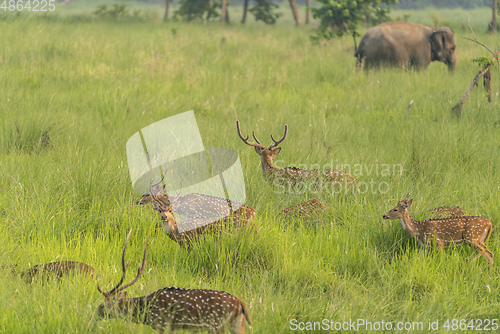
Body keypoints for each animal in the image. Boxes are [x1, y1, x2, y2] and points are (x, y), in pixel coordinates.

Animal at [96, 230, 254, 334]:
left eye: (103, 304)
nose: (96, 314)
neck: (146, 312)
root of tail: (241, 304)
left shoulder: (162, 324)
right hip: (237, 325)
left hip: (217, 325)